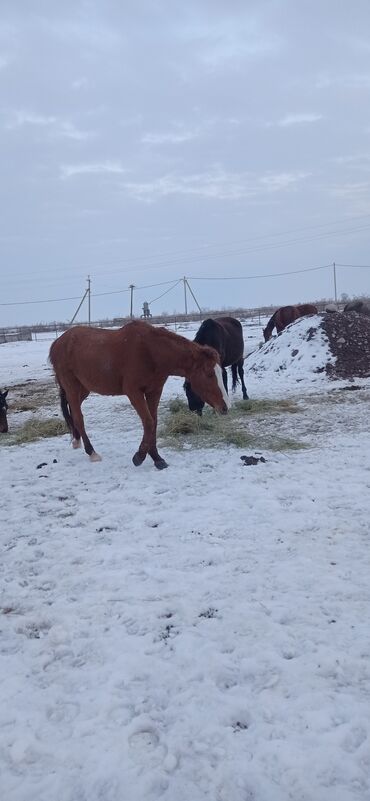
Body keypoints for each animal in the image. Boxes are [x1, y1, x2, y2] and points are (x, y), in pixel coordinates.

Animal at [49, 320, 228, 468]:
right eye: (209, 374)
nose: (225, 407)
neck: (150, 352)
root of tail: (58, 343)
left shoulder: (154, 391)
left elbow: (153, 423)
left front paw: (157, 458)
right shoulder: (134, 392)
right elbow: (148, 422)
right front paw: (139, 457)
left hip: (83, 389)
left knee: (73, 412)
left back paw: (76, 440)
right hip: (72, 387)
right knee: (79, 418)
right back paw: (91, 452)